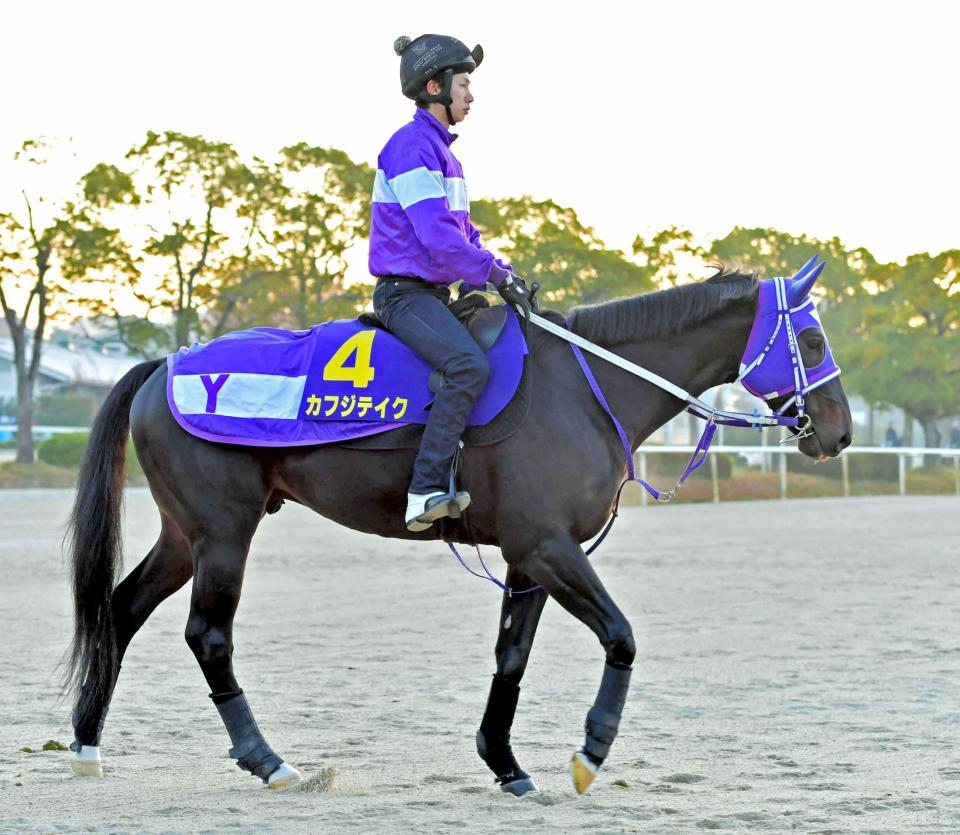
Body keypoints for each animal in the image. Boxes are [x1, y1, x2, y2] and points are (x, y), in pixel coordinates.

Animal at [63, 266, 852, 796]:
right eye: (812, 339)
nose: (840, 431)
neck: (582, 386)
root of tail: (166, 366)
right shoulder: (548, 546)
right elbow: (621, 636)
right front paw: (591, 750)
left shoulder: (530, 558)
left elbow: (512, 657)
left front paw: (505, 762)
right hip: (224, 533)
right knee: (208, 636)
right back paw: (268, 759)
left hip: (185, 536)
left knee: (121, 609)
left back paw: (85, 743)